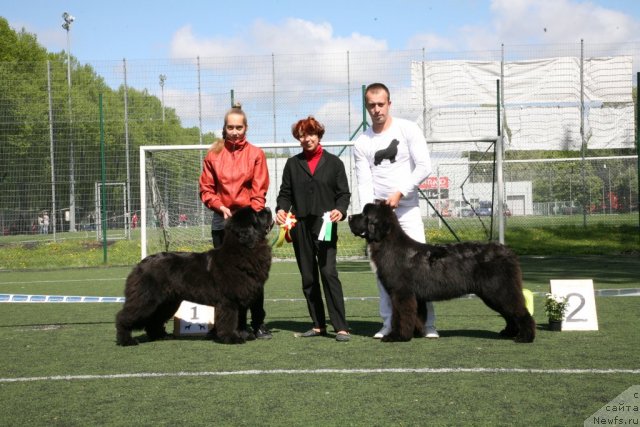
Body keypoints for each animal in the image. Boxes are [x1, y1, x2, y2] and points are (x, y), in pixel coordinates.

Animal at [116, 208, 272, 348]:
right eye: (257, 214)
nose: (269, 209)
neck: (243, 249)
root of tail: (140, 264)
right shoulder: (229, 300)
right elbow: (230, 320)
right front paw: (232, 338)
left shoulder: (242, 298)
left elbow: (240, 319)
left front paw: (244, 335)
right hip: (146, 299)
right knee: (124, 316)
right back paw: (126, 340)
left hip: (167, 302)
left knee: (154, 320)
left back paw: (160, 336)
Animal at [350, 203, 536, 344]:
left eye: (365, 214)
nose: (350, 217)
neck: (388, 245)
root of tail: (508, 251)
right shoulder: (412, 296)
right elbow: (415, 316)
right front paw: (415, 333)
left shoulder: (401, 294)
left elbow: (401, 316)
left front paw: (397, 336)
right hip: (493, 293)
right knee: (509, 313)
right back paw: (509, 332)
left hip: (499, 290)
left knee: (519, 311)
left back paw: (525, 337)